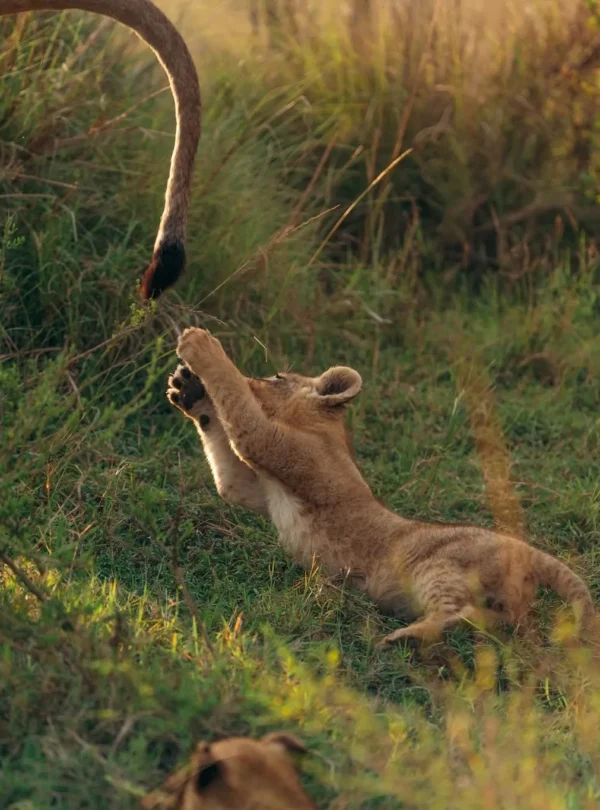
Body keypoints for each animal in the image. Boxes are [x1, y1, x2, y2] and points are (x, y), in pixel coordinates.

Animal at [168, 327, 596, 647]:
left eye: (276, 377)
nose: (262, 376)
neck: (323, 428)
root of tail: (525, 548)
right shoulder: (255, 485)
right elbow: (227, 468)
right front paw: (188, 391)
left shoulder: (276, 446)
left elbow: (237, 401)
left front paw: (199, 345)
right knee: (487, 622)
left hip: (435, 565)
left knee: (459, 611)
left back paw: (403, 638)